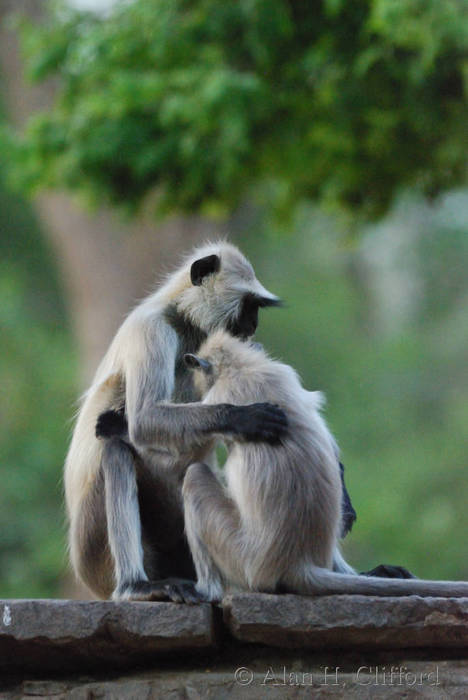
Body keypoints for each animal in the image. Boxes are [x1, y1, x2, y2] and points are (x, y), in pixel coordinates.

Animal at [64, 242, 288, 600]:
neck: (183, 320)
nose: (254, 325)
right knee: (115, 451)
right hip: (93, 547)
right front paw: (244, 417)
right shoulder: (151, 330)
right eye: (249, 306)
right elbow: (143, 420)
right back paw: (136, 585)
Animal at [182, 332, 468, 600]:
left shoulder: (217, 396)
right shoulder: (286, 375)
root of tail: (298, 562)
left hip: (242, 559)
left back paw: (206, 590)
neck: (240, 368)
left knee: (194, 475)